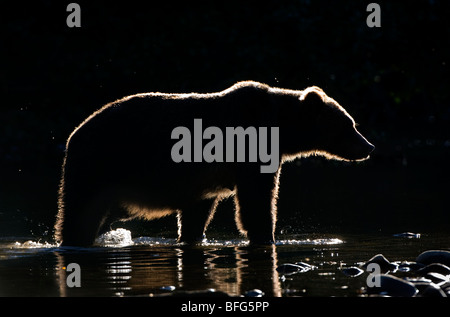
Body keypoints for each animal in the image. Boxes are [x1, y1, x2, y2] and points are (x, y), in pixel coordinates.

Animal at [54, 80, 374, 246]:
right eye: (349, 125)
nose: (368, 147)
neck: (280, 130)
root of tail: (73, 134)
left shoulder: (203, 182)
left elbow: (198, 212)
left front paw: (192, 236)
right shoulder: (249, 150)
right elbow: (257, 201)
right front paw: (266, 235)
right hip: (100, 164)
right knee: (79, 211)